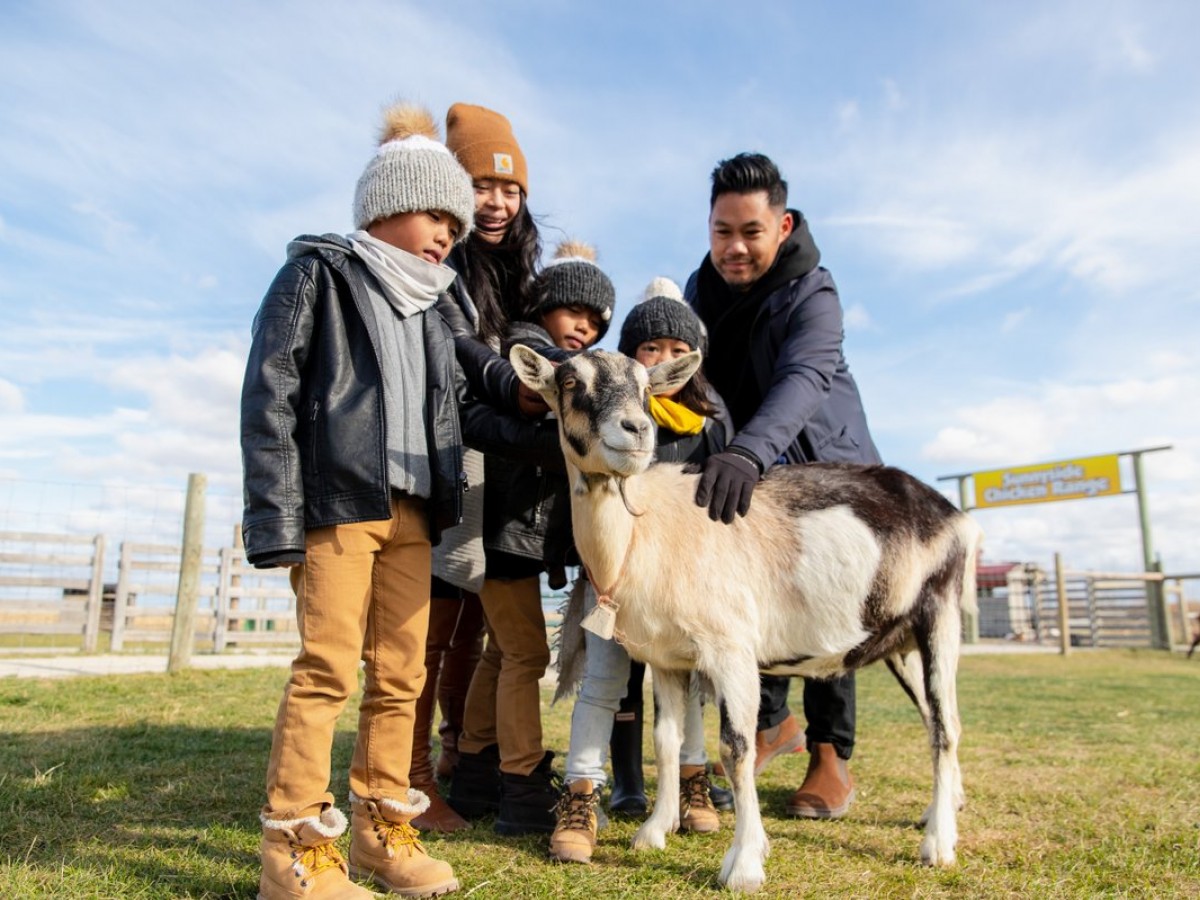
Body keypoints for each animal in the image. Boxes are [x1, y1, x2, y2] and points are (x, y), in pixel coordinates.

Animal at [511, 345, 988, 897]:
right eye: (570, 382)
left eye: (648, 389)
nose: (635, 430)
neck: (646, 529)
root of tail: (955, 516)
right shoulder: (667, 659)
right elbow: (666, 741)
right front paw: (653, 833)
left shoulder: (731, 648)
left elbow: (736, 748)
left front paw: (743, 864)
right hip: (902, 643)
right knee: (937, 720)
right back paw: (943, 811)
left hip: (940, 619)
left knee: (945, 728)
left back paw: (938, 845)